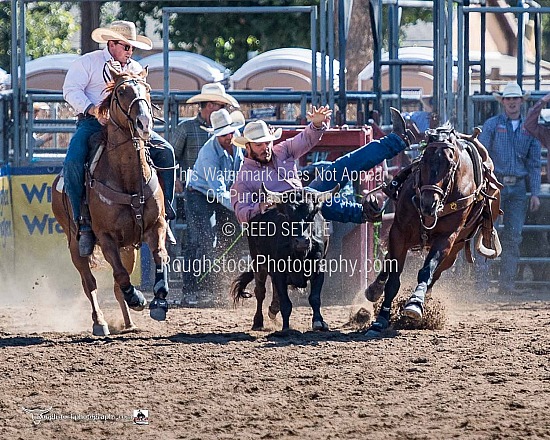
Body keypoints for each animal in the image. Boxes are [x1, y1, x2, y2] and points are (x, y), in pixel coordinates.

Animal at [54, 65, 171, 336]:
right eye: (122, 91)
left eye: (147, 89)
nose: (144, 123)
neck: (127, 177)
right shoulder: (106, 238)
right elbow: (119, 275)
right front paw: (138, 298)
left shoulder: (155, 226)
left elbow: (160, 255)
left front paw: (159, 300)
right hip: (75, 245)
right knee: (90, 284)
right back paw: (100, 323)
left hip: (128, 249)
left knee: (117, 285)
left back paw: (128, 323)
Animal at [366, 125, 504, 336]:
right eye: (423, 160)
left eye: (450, 163)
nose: (428, 204)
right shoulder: (399, 232)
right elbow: (393, 277)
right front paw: (381, 318)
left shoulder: (446, 239)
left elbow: (426, 271)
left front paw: (415, 304)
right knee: (388, 262)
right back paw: (375, 289)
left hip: (454, 250)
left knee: (434, 275)